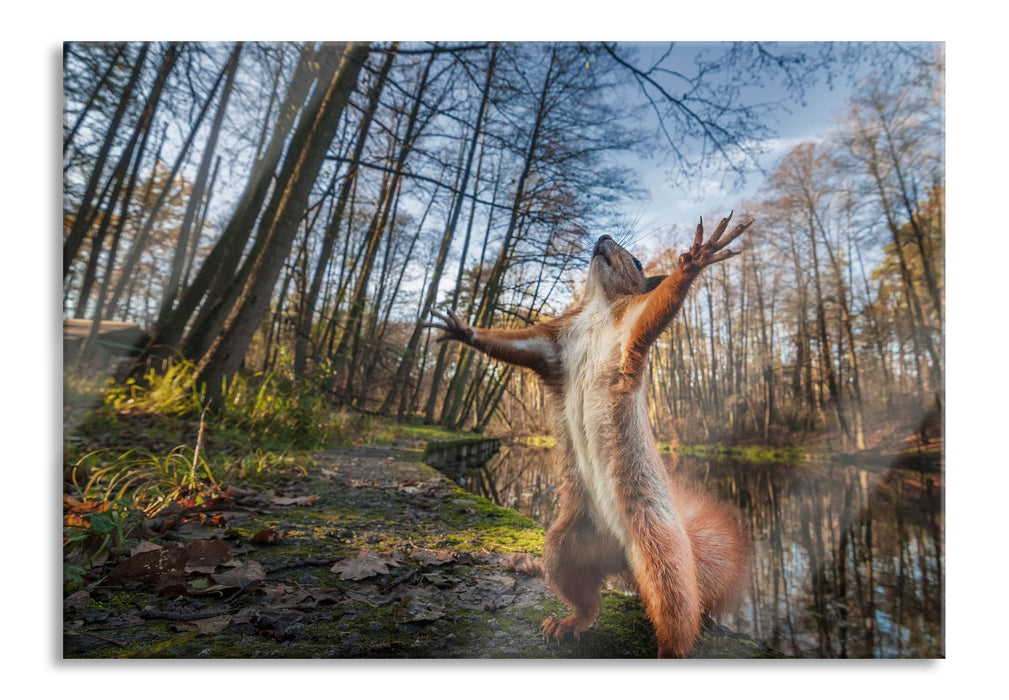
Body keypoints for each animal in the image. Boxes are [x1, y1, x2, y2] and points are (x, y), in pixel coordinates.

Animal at [425, 212, 750, 657]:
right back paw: (569, 623)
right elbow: (511, 345)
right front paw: (464, 331)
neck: (597, 308)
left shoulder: (631, 329)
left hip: (661, 552)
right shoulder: (552, 346)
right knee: (587, 600)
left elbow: (660, 307)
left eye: (637, 261)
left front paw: (695, 260)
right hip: (566, 547)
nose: (603, 236)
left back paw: (669, 648)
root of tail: (622, 559)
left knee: (678, 612)